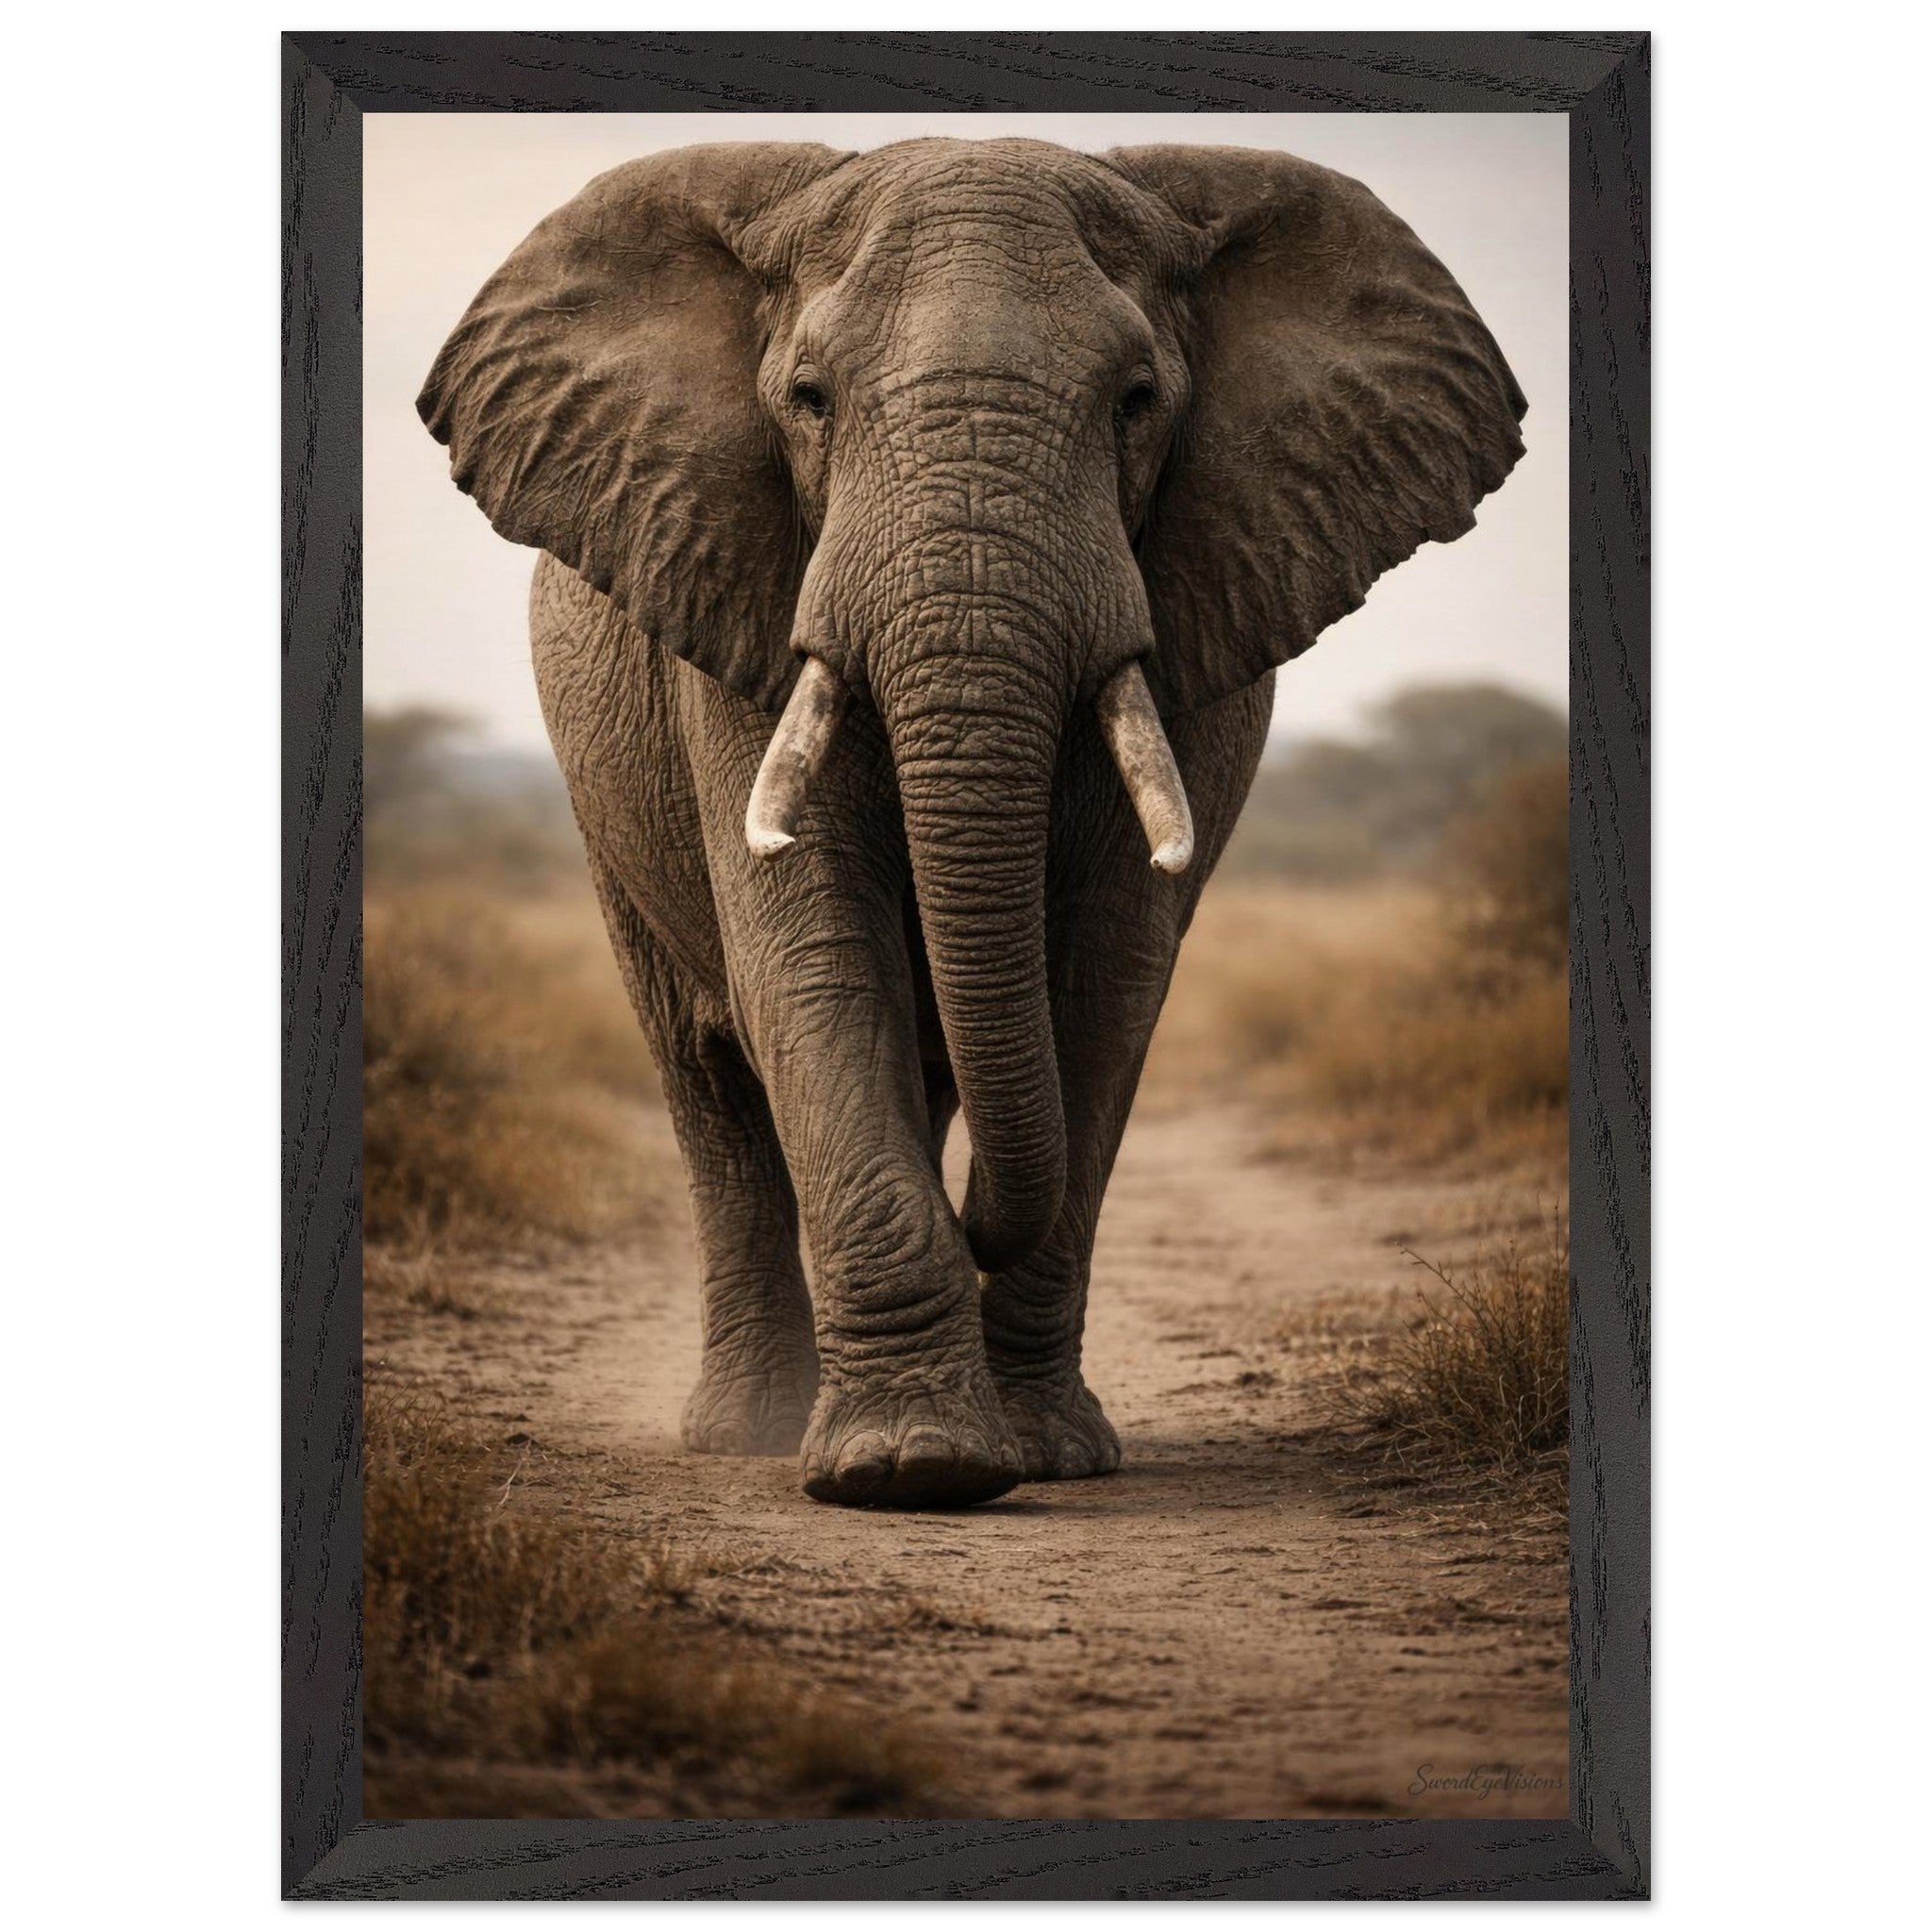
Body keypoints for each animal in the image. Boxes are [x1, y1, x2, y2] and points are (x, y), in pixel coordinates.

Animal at [418, 137, 1524, 1509]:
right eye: (810, 398)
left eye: (1136, 400)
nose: (977, 1216)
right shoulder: (741, 604)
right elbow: (812, 954)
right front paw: (911, 1468)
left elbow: (1106, 983)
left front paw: (1043, 1454)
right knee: (709, 1083)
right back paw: (748, 1431)